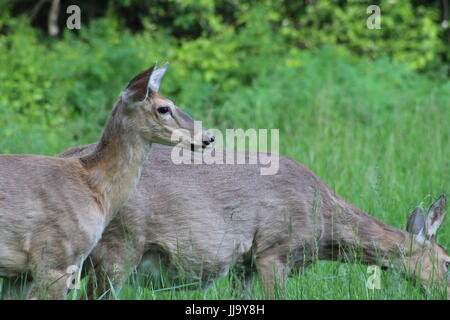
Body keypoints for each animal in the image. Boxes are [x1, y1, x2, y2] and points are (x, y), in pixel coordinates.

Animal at [53, 143, 450, 300]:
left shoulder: (243, 262)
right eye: (448, 261)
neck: (324, 222)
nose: (445, 290)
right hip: (118, 248)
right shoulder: (274, 250)